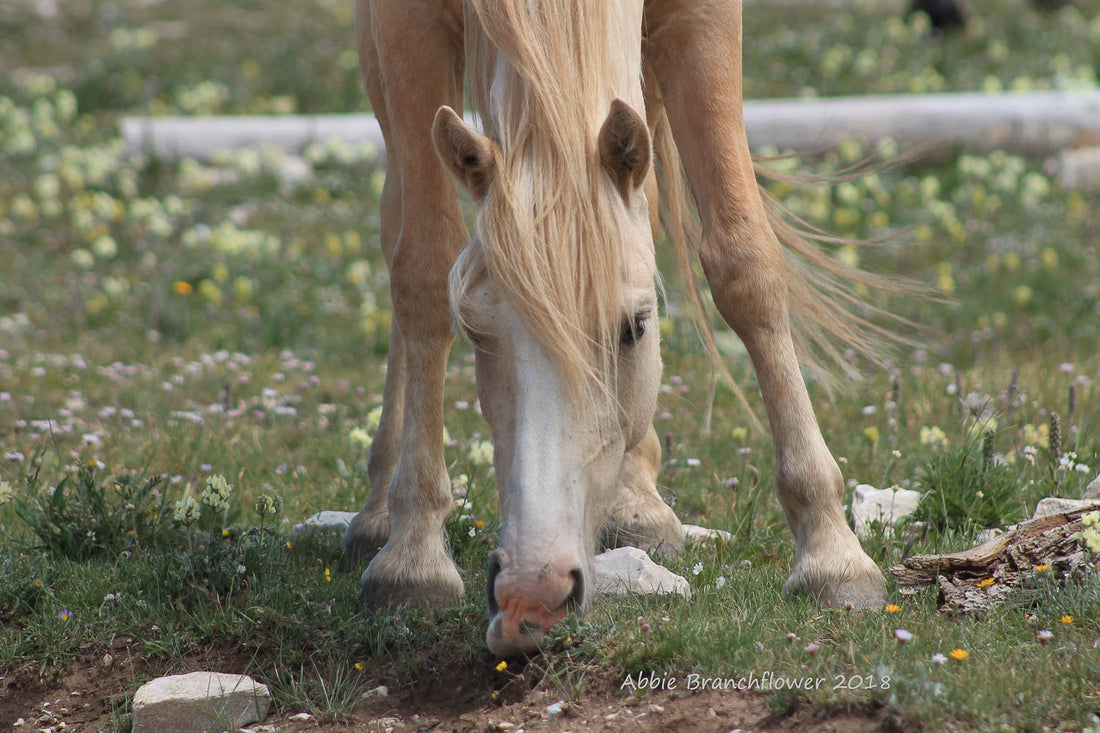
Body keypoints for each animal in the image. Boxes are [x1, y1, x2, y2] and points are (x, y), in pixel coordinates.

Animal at [347, 0, 888, 651]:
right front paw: (415, 559)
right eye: (474, 331)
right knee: (394, 218)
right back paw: (380, 508)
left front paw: (833, 555)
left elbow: (745, 263)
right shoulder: (400, 22)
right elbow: (421, 271)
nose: (532, 590)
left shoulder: (702, 17)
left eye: (636, 327)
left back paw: (638, 501)